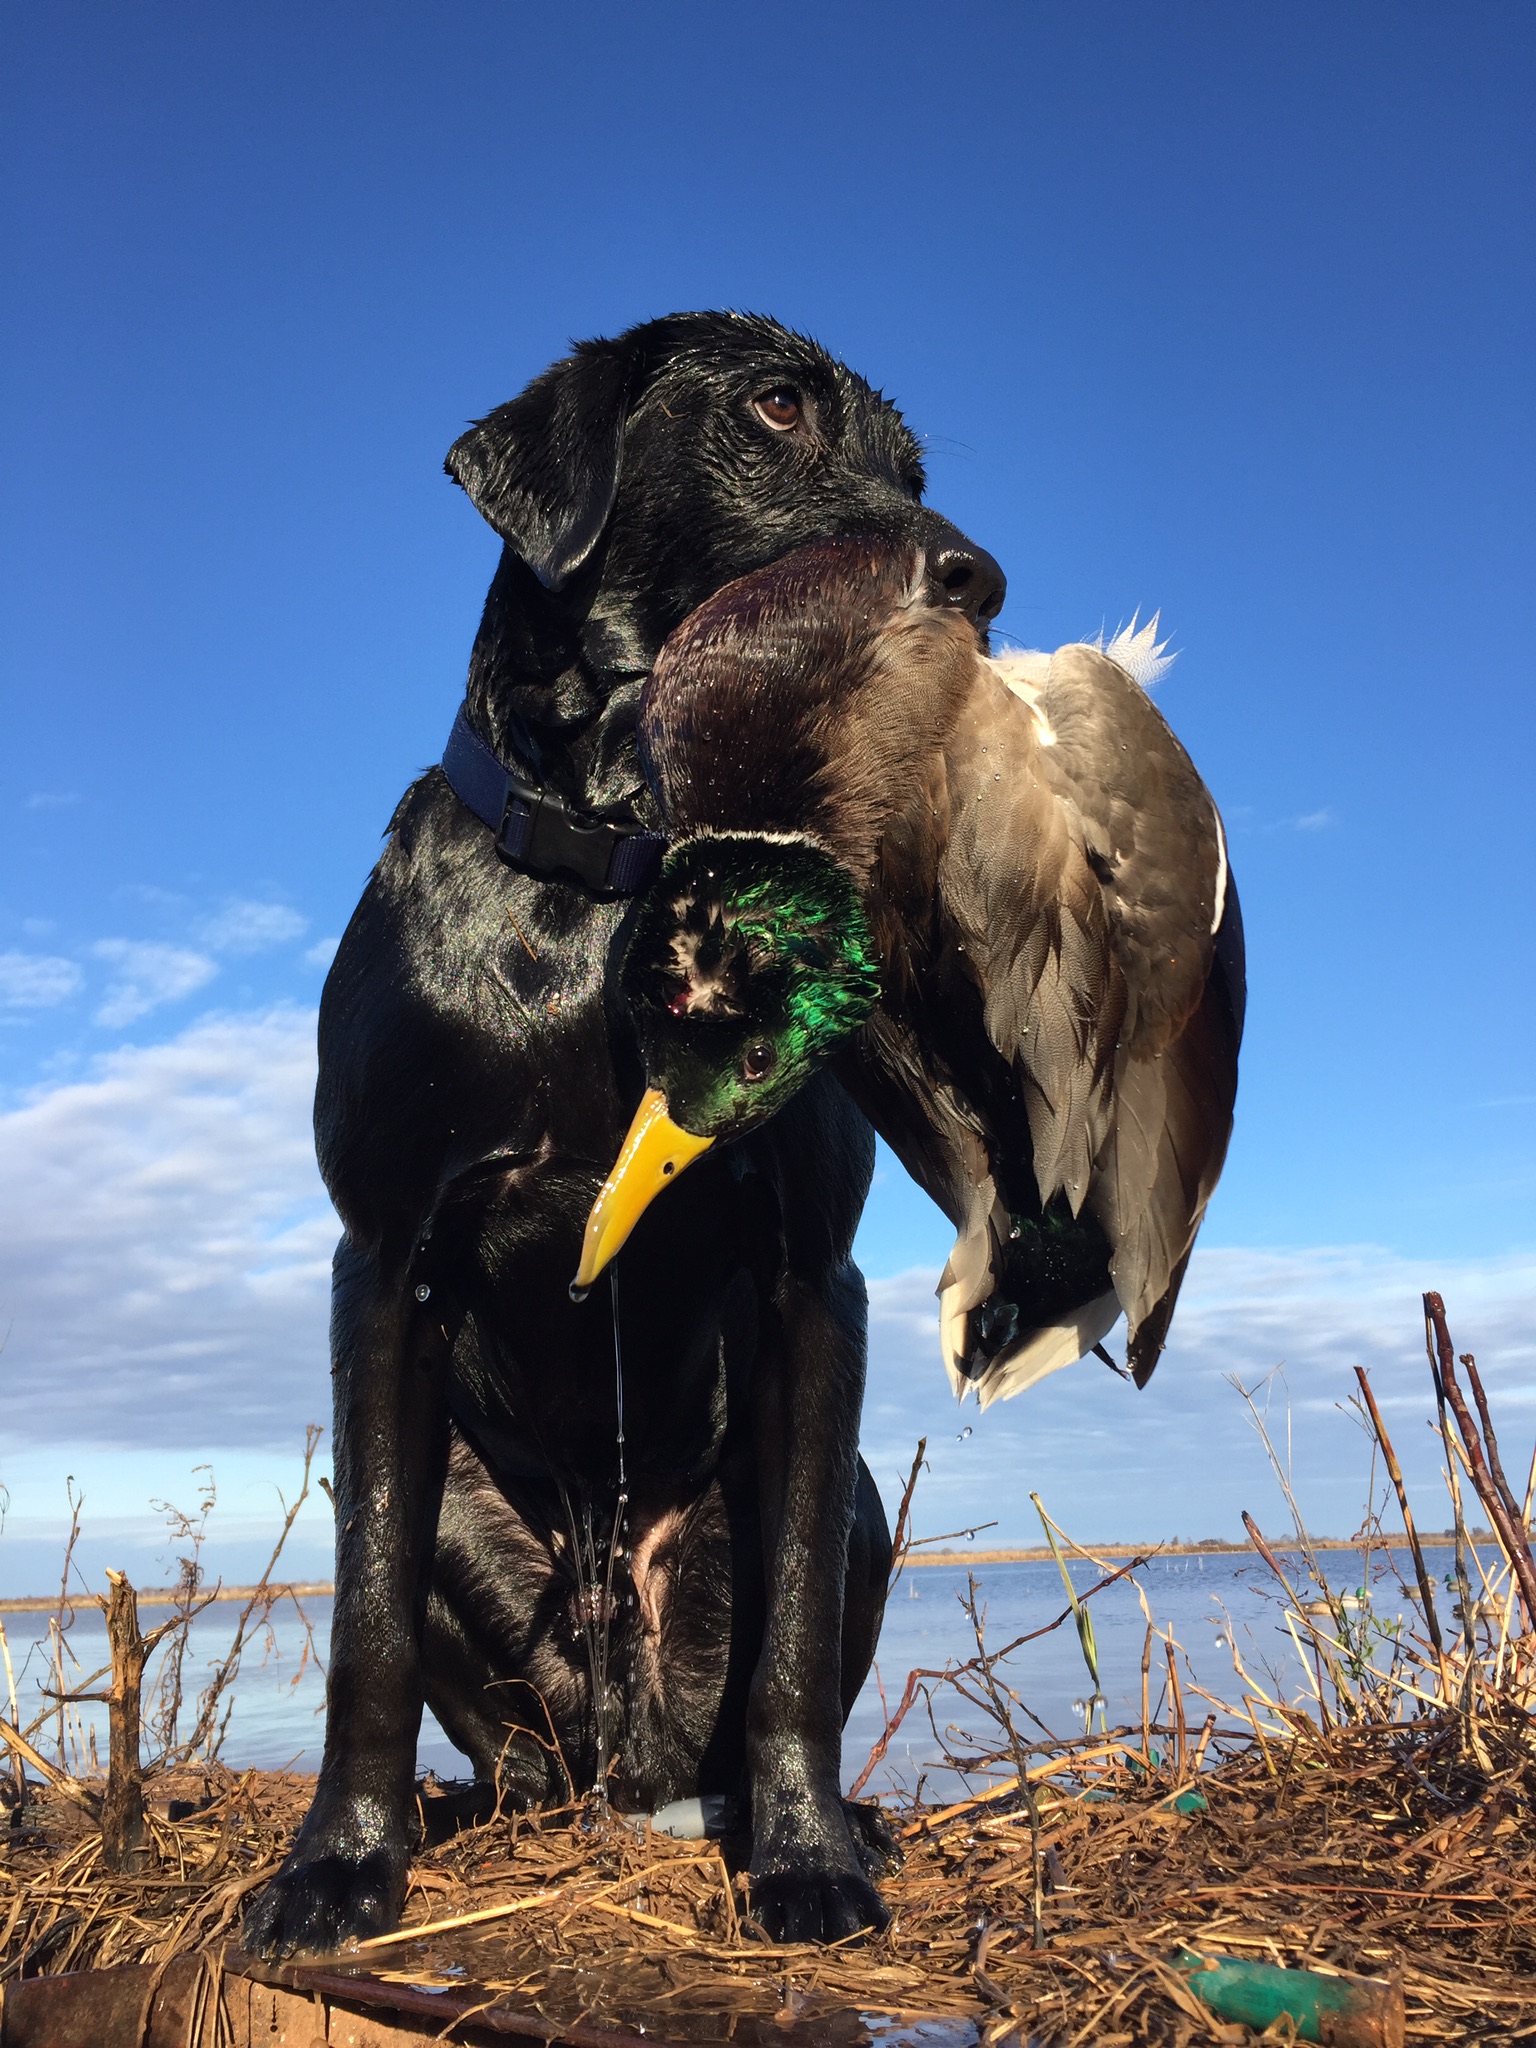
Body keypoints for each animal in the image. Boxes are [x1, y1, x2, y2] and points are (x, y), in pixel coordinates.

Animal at [244, 315, 1003, 1949]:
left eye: (915, 468)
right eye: (773, 406)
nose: (980, 579)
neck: (616, 876)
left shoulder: (812, 1280)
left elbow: (792, 1648)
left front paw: (807, 1855)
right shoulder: (380, 1259)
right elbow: (364, 1617)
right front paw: (340, 1863)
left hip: (856, 1501)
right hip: (469, 1520)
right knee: (504, 1735)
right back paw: (471, 1806)